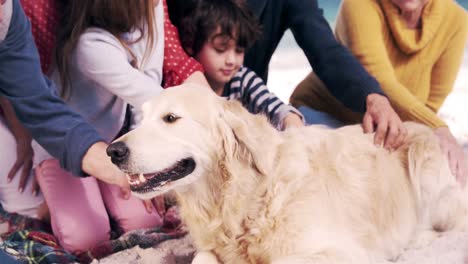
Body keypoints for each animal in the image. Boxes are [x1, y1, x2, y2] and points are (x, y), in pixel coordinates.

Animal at [107, 83, 468, 262]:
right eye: (142, 118)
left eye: (171, 118)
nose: (112, 151)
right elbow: (203, 258)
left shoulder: (343, 253)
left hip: (426, 165)